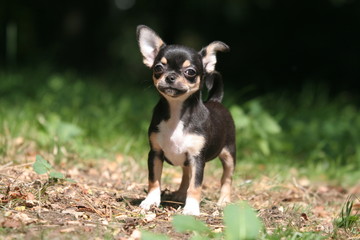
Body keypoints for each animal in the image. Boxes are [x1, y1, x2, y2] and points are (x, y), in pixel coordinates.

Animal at [136, 24, 235, 216]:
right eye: (158, 68)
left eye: (190, 72)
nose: (170, 76)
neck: (176, 112)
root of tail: (215, 100)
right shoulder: (155, 153)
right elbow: (154, 180)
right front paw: (150, 201)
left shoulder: (197, 158)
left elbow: (195, 186)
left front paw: (191, 208)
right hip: (186, 158)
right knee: (185, 174)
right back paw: (181, 193)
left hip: (229, 154)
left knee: (226, 178)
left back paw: (224, 200)